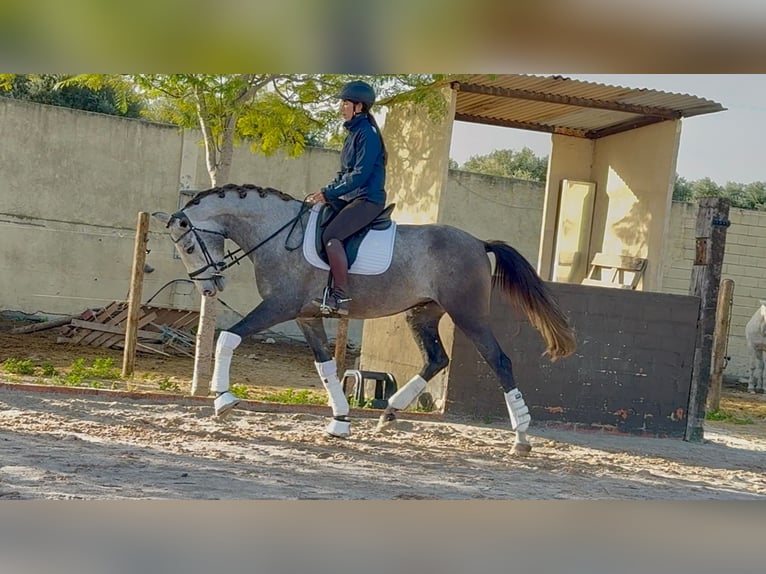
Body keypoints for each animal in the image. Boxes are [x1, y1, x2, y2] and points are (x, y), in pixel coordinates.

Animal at [152, 183, 577, 455]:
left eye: (187, 246)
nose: (210, 288)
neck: (276, 234)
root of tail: (477, 242)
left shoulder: (280, 307)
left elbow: (228, 337)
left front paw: (223, 399)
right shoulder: (306, 316)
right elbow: (325, 367)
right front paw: (341, 421)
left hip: (468, 314)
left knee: (499, 360)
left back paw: (521, 439)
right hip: (423, 313)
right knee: (436, 358)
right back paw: (388, 414)